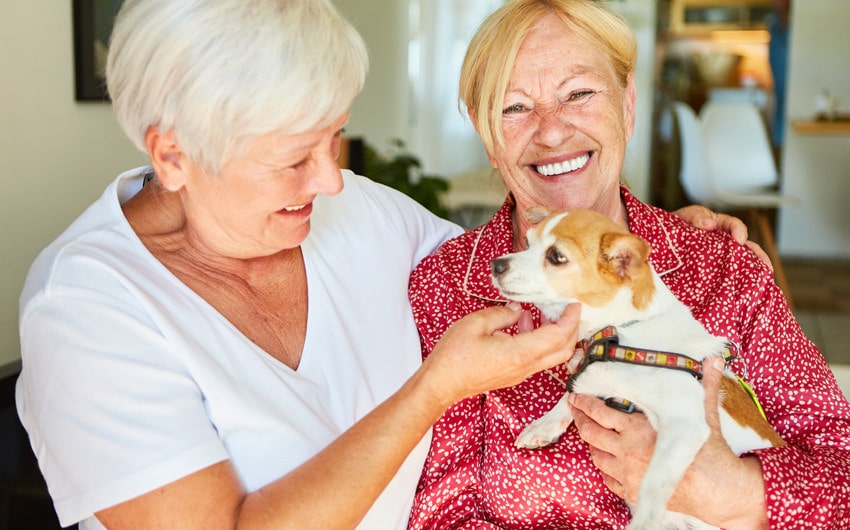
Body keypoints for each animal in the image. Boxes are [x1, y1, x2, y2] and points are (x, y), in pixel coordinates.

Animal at [486, 205, 784, 528]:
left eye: (556, 256)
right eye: (527, 243)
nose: (496, 264)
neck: (623, 333)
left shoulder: (684, 425)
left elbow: (654, 481)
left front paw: (643, 518)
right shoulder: (594, 375)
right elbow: (573, 391)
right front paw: (545, 424)